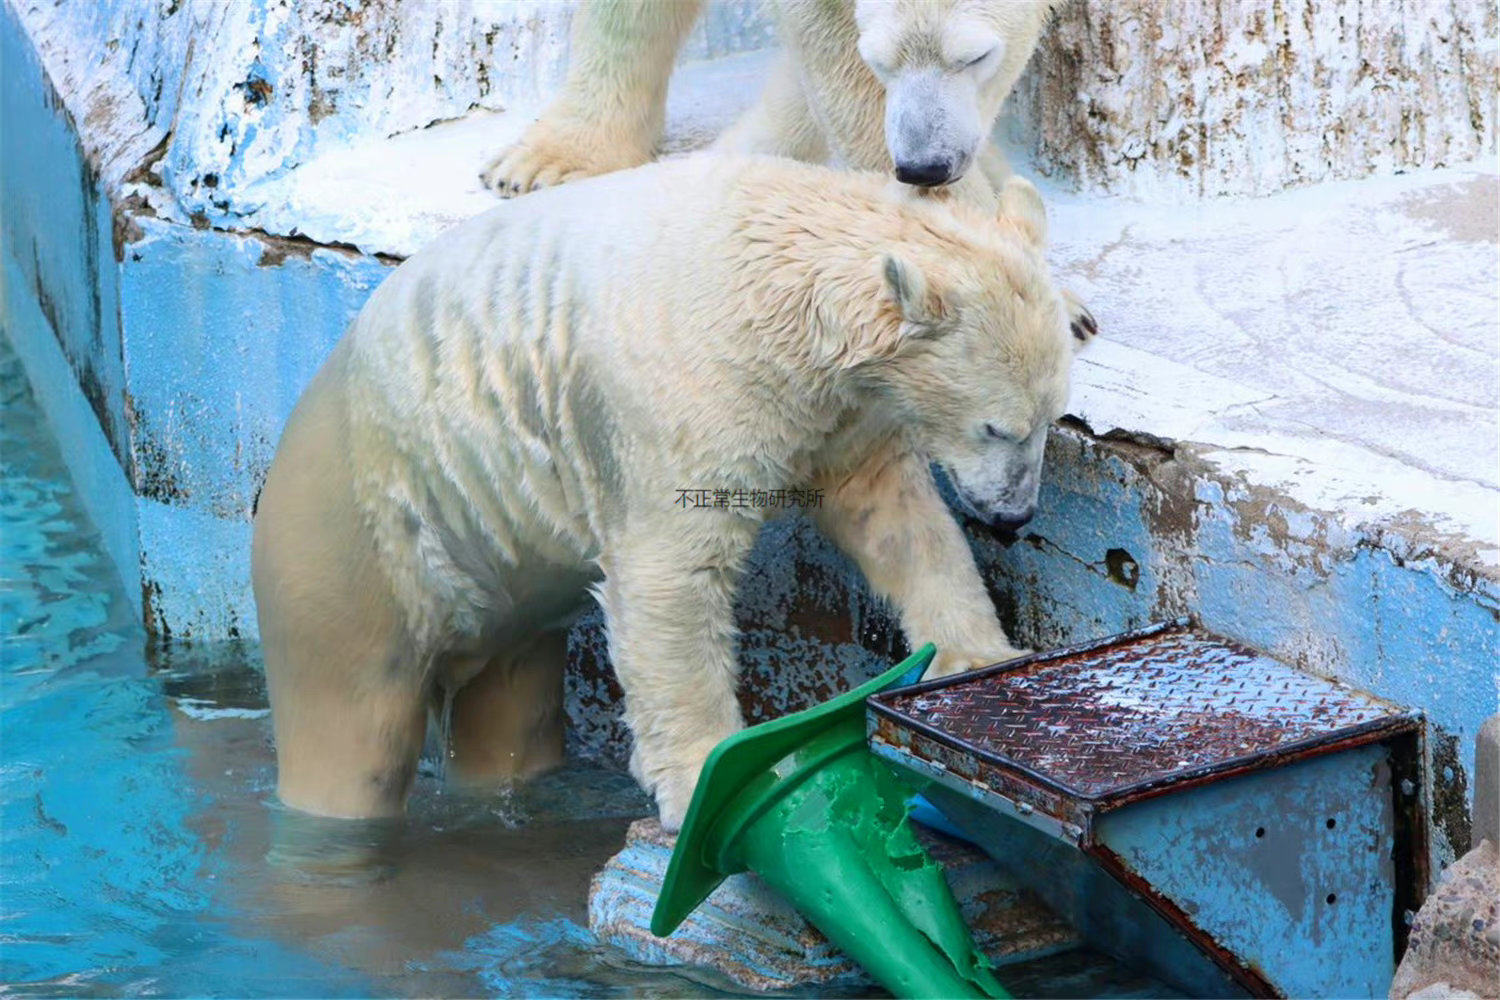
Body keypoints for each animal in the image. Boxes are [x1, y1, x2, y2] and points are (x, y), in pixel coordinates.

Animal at [255, 154, 1104, 827]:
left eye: (1050, 417)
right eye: (998, 427)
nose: (1013, 516)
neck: (772, 279)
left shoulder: (835, 409)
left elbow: (894, 516)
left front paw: (981, 655)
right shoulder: (689, 394)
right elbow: (672, 575)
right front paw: (703, 776)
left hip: (500, 600)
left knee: (510, 710)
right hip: (354, 552)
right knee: (352, 734)